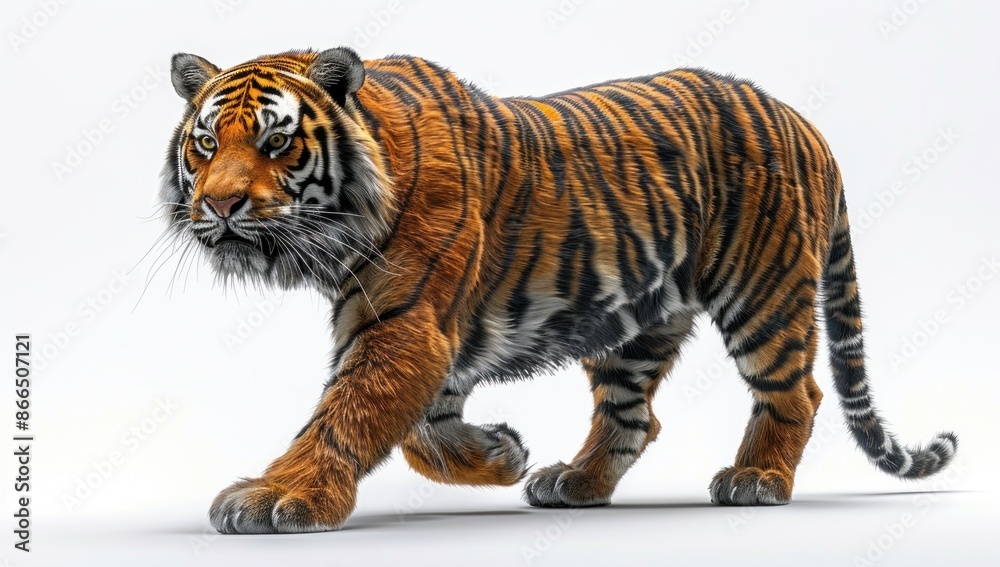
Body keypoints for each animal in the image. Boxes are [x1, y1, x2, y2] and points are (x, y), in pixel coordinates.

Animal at [160, 47, 957, 534]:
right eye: (206, 143)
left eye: (275, 142)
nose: (219, 205)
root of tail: (802, 121)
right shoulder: (424, 334)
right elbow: (419, 431)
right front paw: (501, 453)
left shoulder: (406, 323)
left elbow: (346, 414)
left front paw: (278, 495)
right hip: (640, 319)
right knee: (635, 418)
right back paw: (576, 480)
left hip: (762, 292)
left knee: (798, 392)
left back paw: (756, 476)